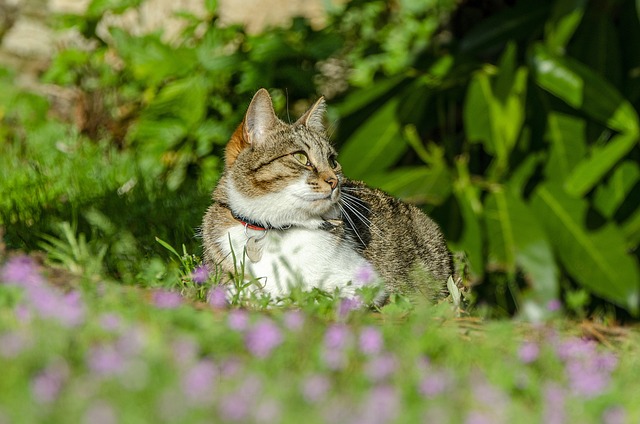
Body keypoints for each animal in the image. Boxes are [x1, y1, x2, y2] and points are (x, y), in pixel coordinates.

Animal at [202, 88, 452, 304]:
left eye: (333, 161)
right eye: (301, 157)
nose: (334, 181)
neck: (272, 228)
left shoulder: (365, 285)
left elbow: (301, 295)